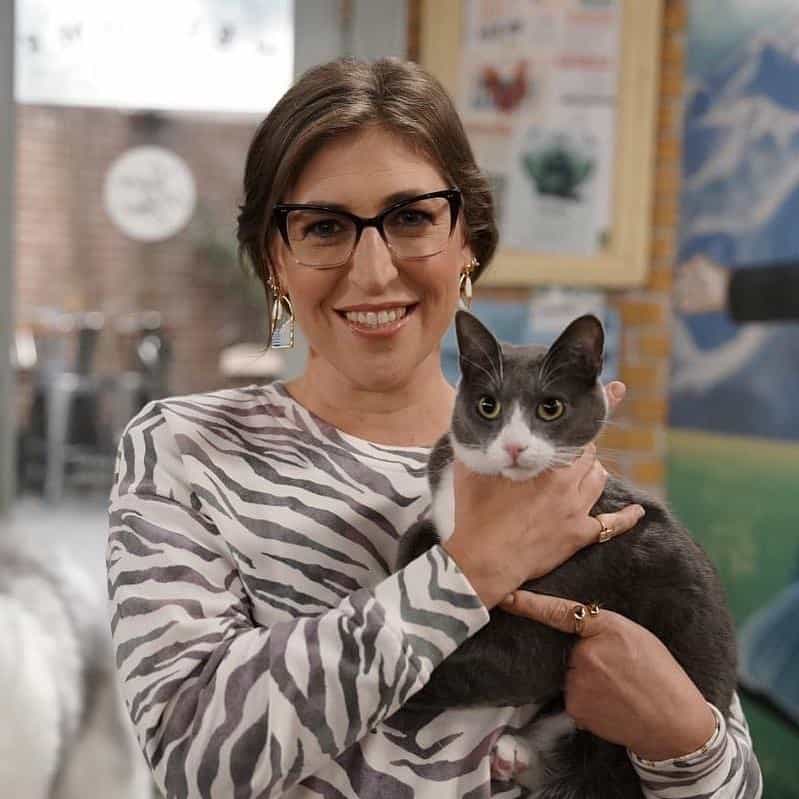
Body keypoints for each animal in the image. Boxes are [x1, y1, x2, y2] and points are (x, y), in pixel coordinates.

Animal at [396, 310, 740, 799]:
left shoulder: (571, 591)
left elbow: (495, 663)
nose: (514, 447)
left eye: (550, 408)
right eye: (488, 406)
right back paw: (513, 755)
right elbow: (417, 532)